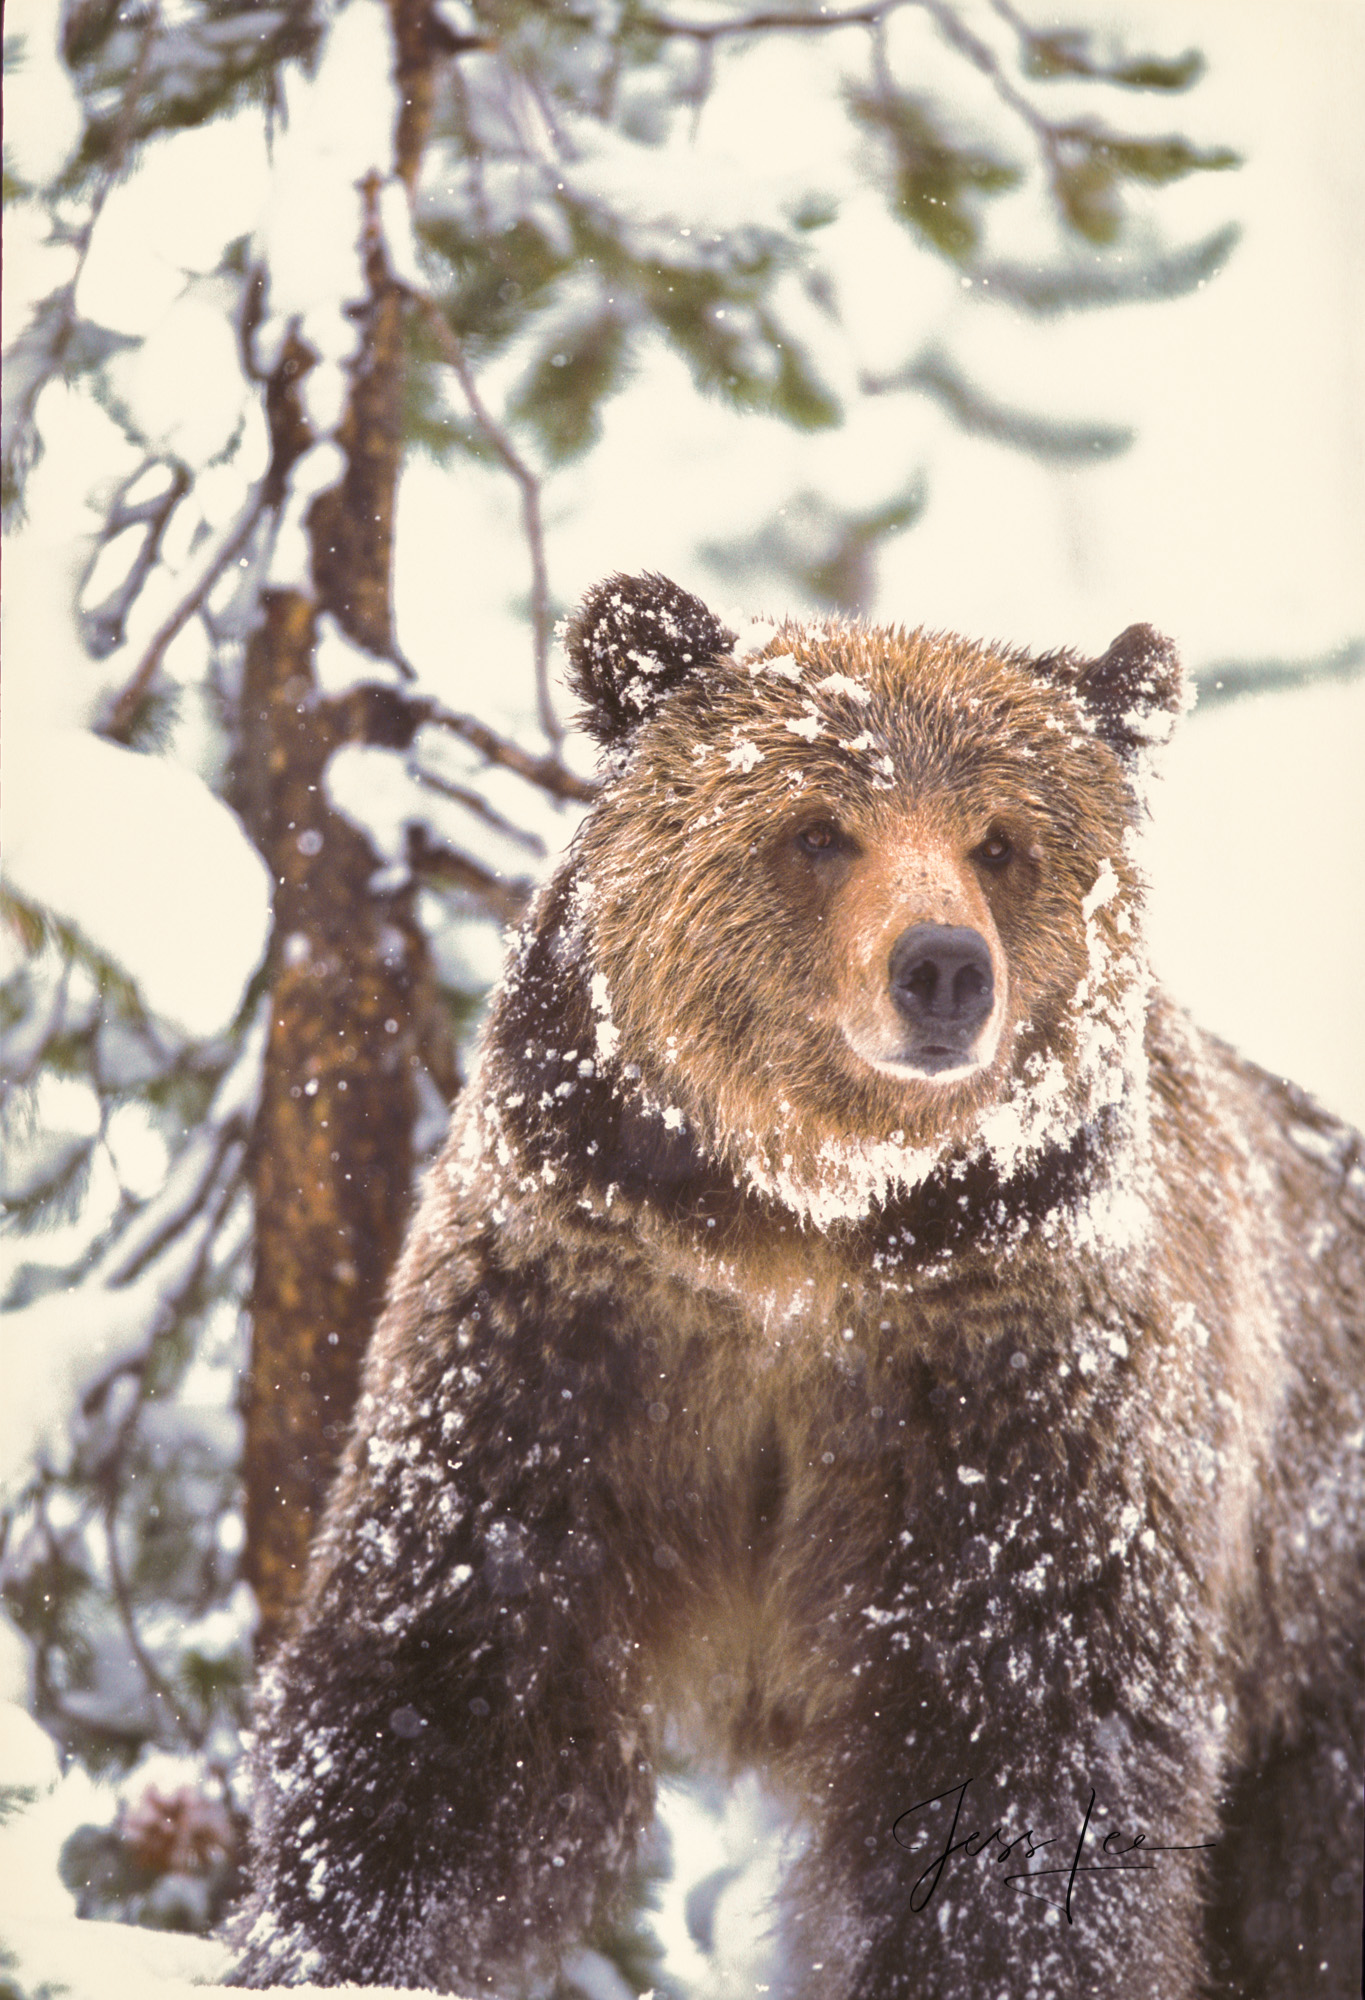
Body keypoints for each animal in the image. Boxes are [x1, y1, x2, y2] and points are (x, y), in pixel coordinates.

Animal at [228, 572, 1352, 1992]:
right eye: (821, 828)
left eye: (1002, 842)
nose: (943, 968)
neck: (808, 1229)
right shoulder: (574, 1329)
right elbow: (453, 1685)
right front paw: (330, 1936)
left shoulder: (1018, 1397)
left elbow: (1022, 1756)